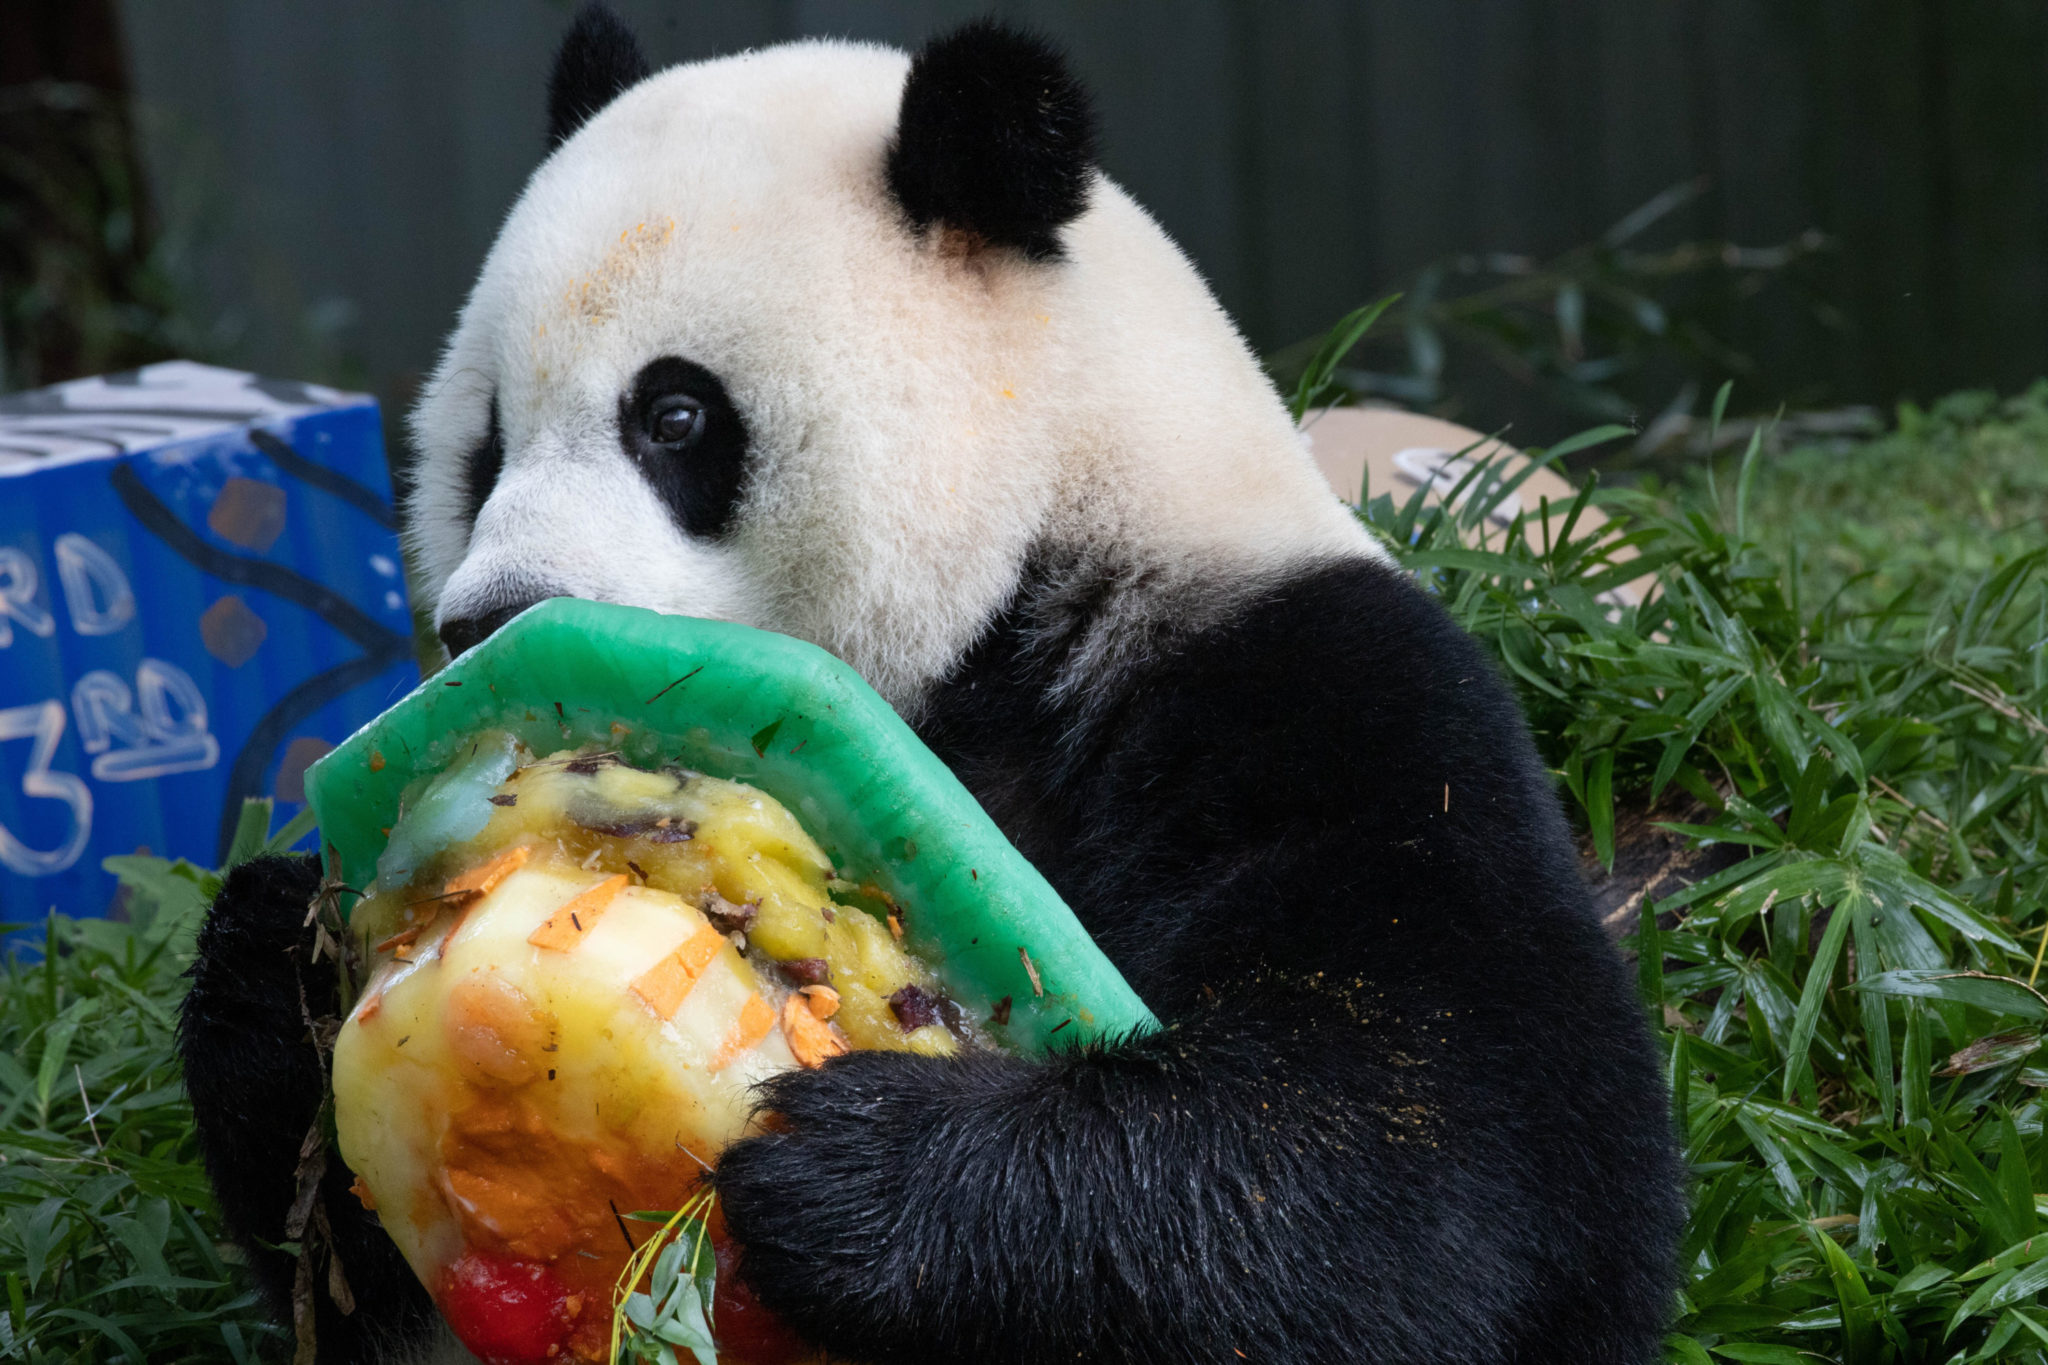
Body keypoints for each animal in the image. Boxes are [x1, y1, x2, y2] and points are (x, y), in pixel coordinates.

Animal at [180, 5, 1679, 1358]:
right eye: (482, 447)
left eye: (673, 414)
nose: (494, 613)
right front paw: (271, 963)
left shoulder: (1300, 687)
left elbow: (1446, 1151)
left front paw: (857, 1173)